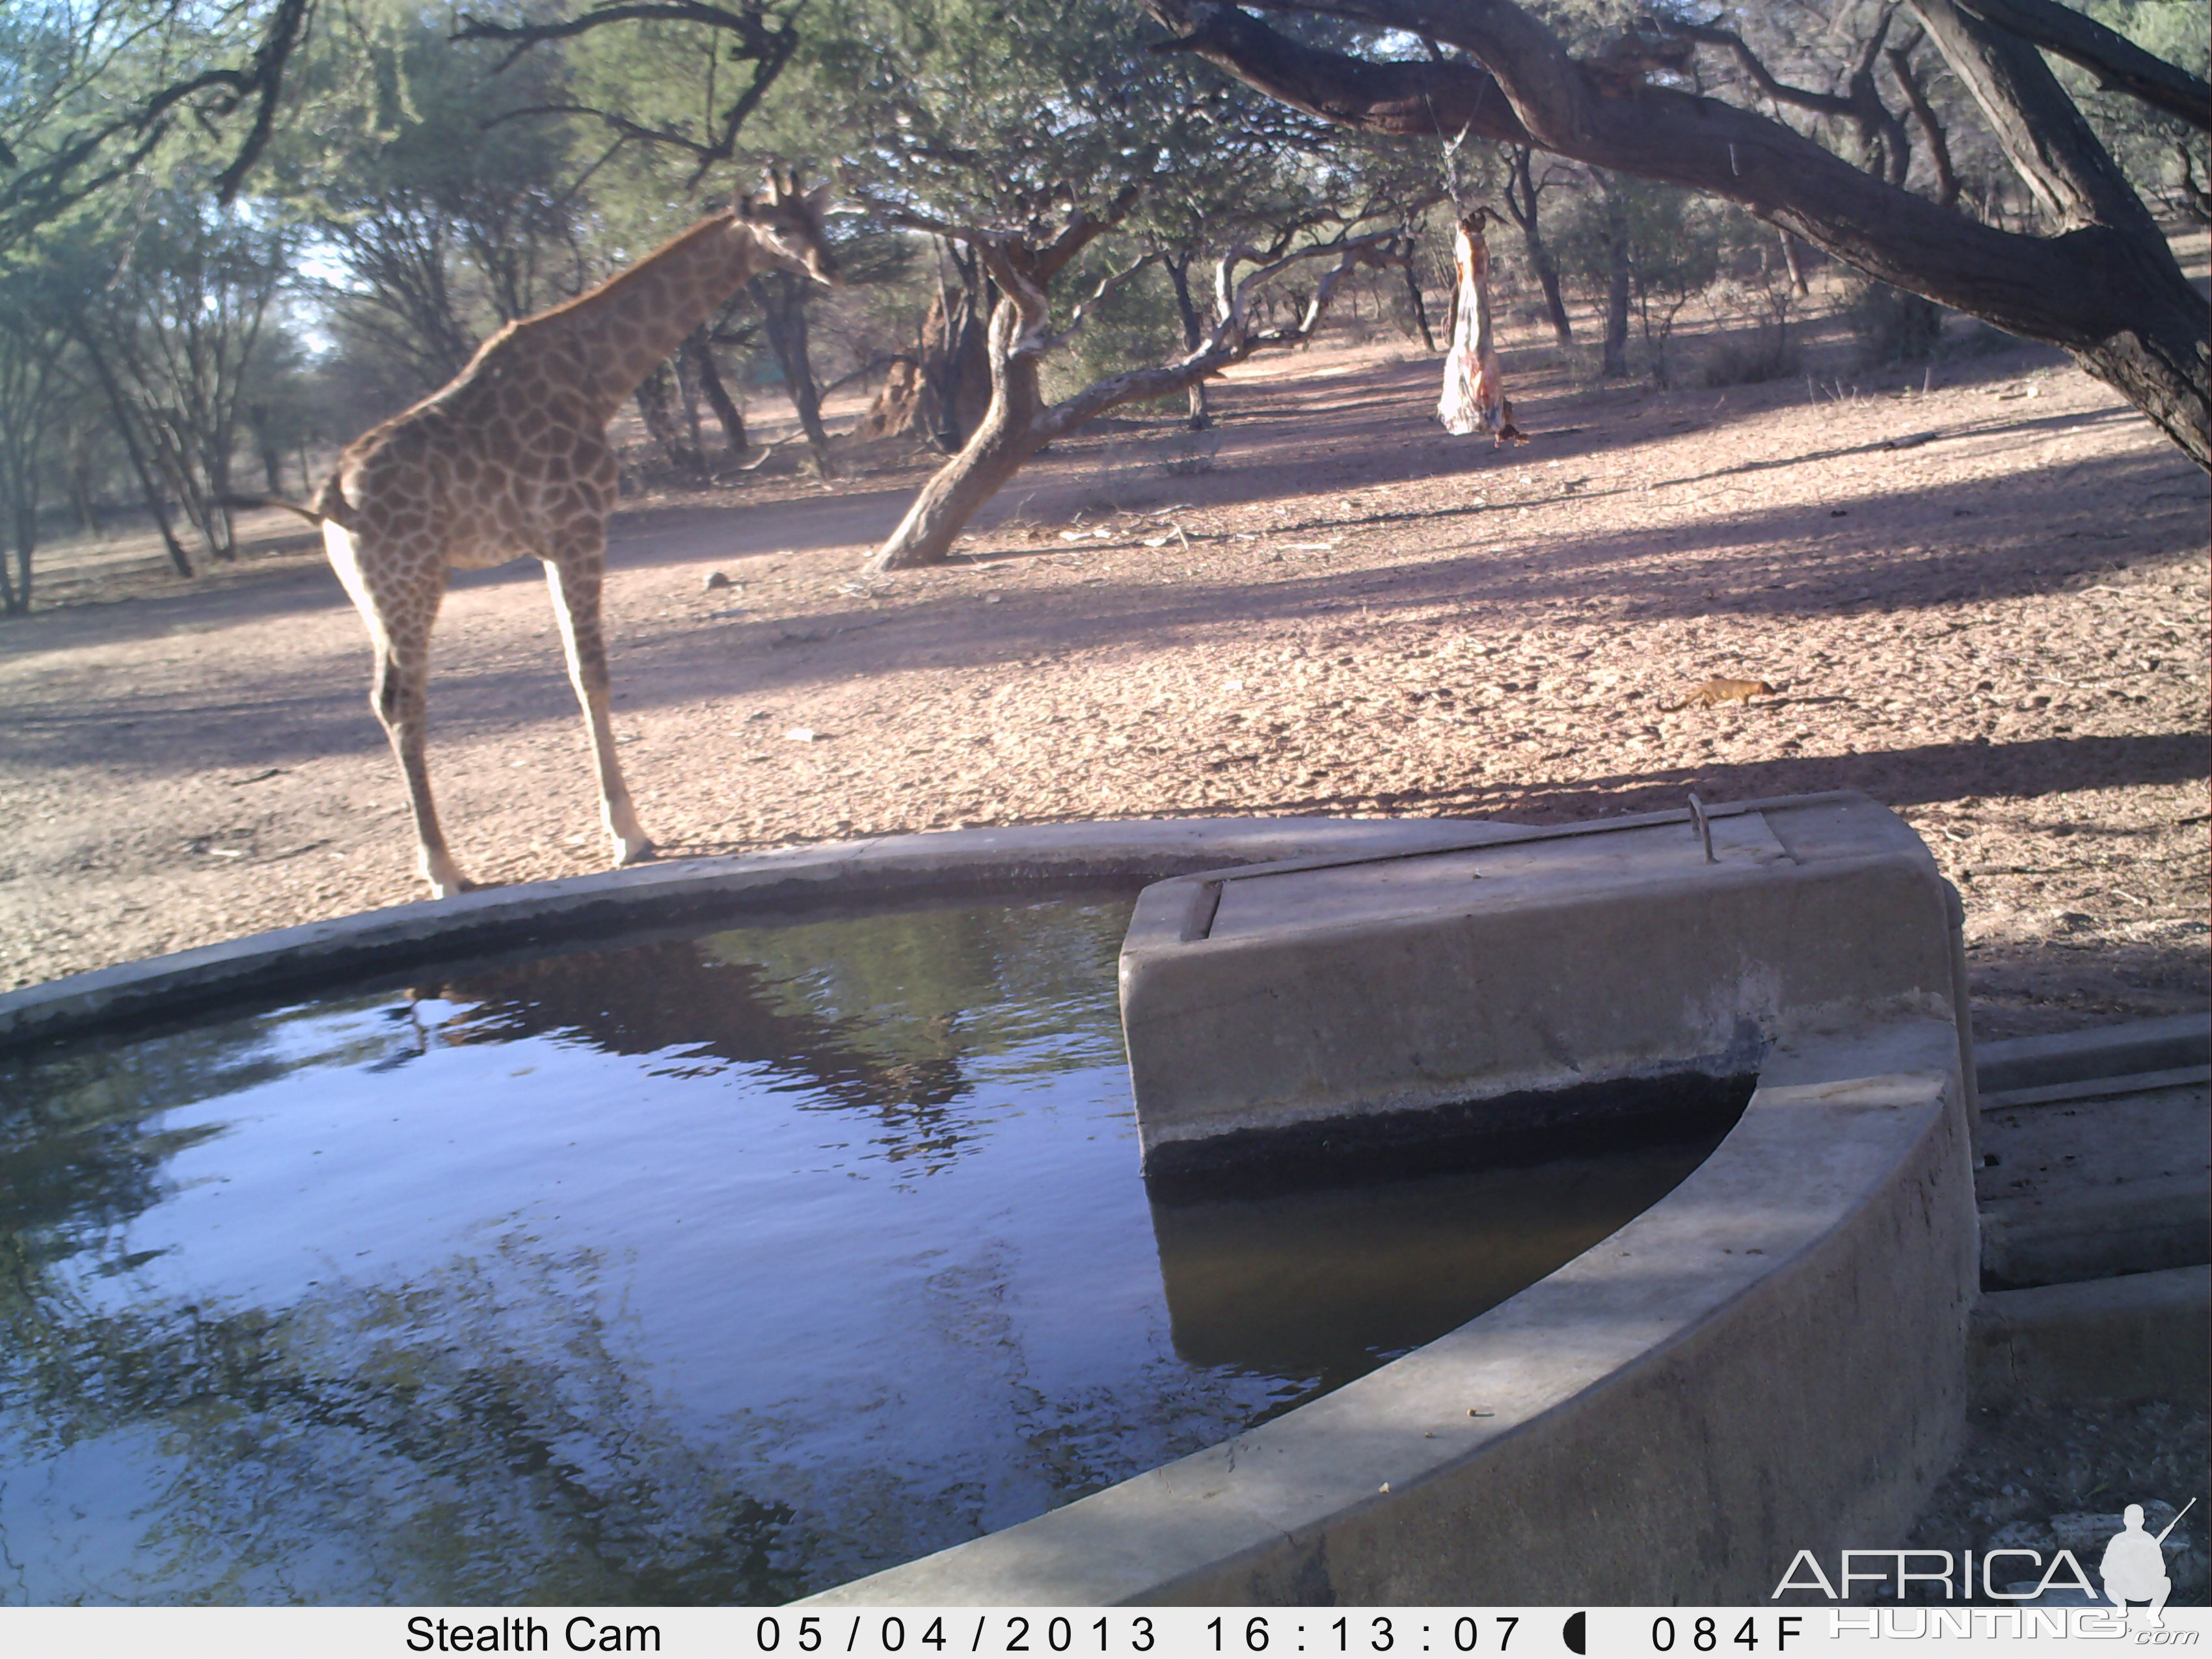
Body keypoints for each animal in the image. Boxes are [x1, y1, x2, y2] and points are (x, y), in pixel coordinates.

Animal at [269, 172, 836, 898]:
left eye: (817, 221)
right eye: (778, 230)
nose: (830, 267)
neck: (599, 373)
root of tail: (331, 496)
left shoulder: (550, 545)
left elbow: (572, 669)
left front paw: (623, 827)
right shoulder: (579, 528)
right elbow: (592, 673)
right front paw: (629, 834)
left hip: (372, 597)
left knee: (386, 700)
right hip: (410, 583)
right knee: (399, 701)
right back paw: (443, 870)